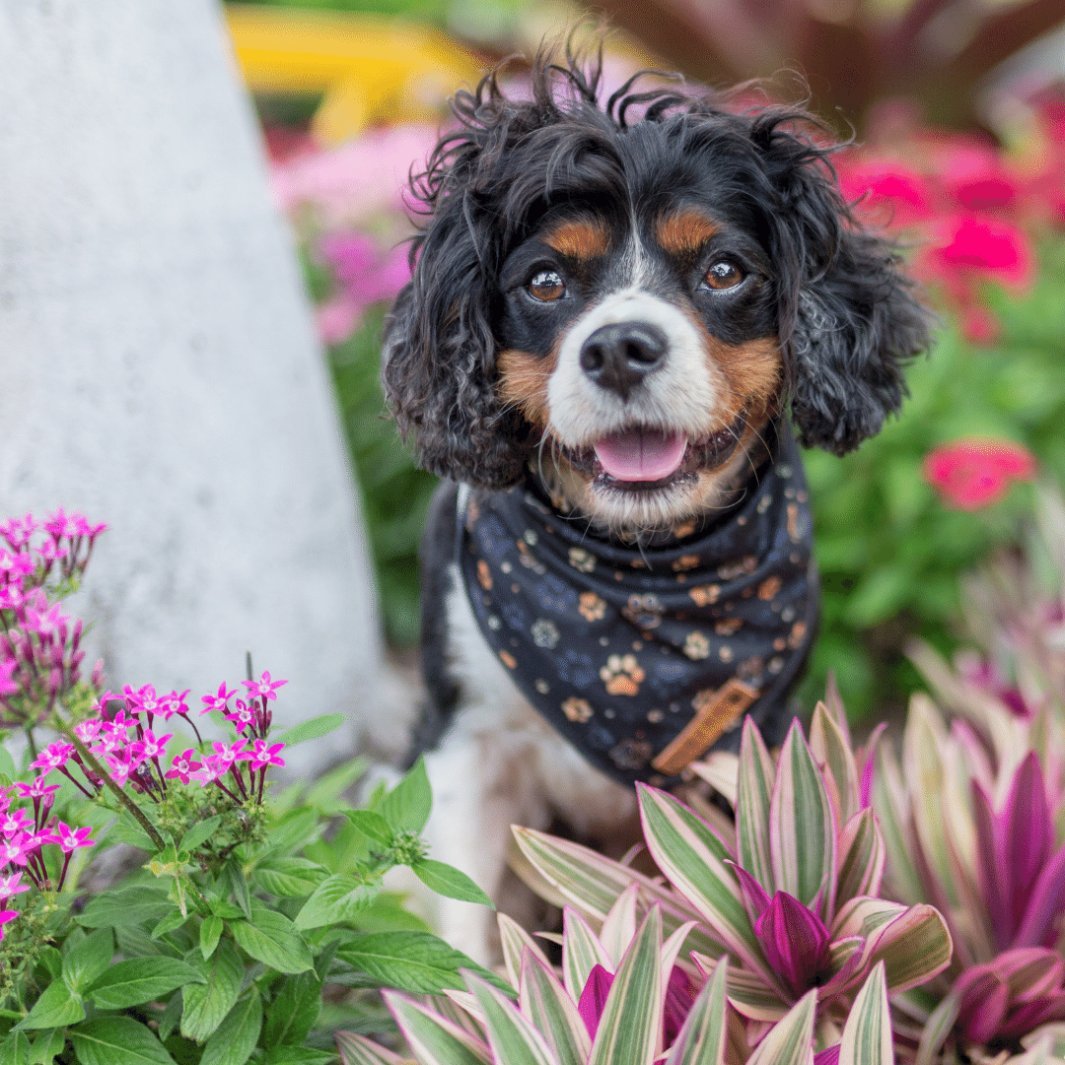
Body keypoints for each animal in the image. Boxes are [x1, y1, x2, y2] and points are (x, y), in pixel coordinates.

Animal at [379, 45, 928, 958]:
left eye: (723, 270)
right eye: (544, 281)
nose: (617, 348)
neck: (638, 573)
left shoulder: (752, 742)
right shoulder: (459, 744)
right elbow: (461, 931)